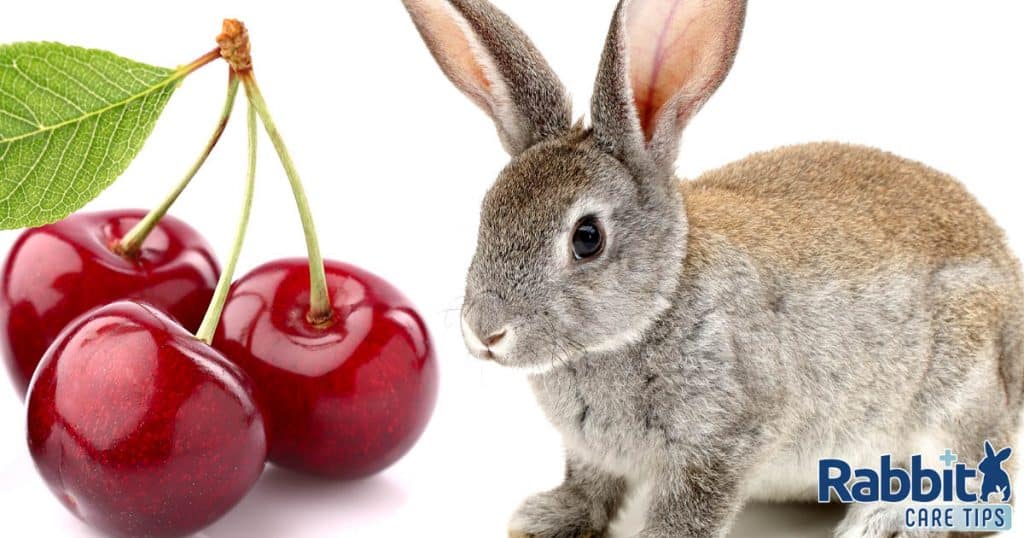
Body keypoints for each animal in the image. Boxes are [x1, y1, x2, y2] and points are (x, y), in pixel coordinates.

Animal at [400, 0, 1024, 536]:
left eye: (586, 238)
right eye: (487, 213)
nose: (484, 332)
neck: (659, 303)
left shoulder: (727, 438)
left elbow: (691, 507)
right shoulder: (592, 454)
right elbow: (590, 485)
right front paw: (544, 519)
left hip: (957, 392)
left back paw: (886, 521)